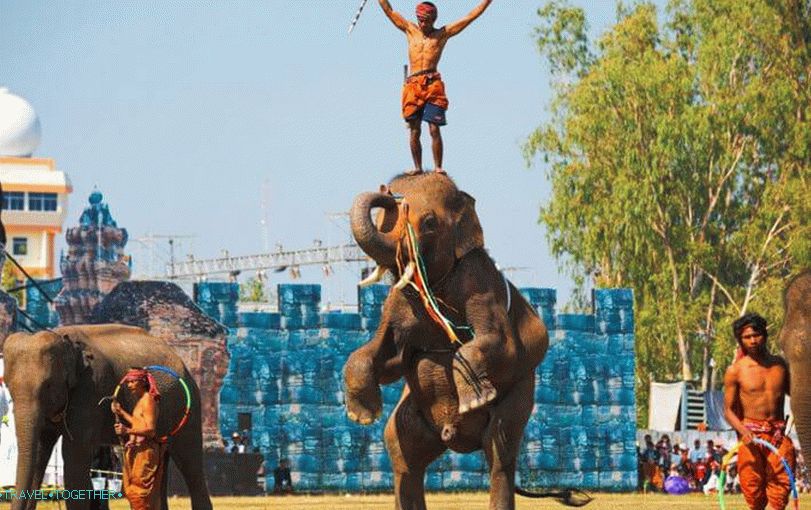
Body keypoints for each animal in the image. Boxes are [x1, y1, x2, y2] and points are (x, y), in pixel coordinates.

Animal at [2, 324, 212, 510]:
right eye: (8, 385)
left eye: (47, 385)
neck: (64, 340)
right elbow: (39, 452)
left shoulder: (91, 388)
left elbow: (73, 458)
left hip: (188, 407)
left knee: (190, 462)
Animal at [344, 173, 549, 510]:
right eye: (384, 219)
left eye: (429, 222)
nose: (387, 191)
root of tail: (454, 437)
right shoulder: (398, 303)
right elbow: (388, 358)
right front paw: (361, 416)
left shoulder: (478, 281)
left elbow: (501, 345)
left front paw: (475, 400)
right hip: (413, 417)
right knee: (402, 454)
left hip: (520, 394)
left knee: (499, 452)